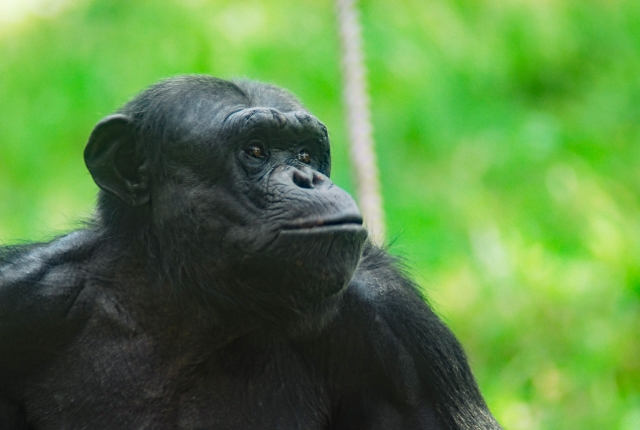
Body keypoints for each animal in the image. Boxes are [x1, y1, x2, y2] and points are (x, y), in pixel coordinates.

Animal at [0, 75, 500, 428]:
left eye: (305, 153)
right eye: (255, 149)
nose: (309, 179)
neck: (187, 313)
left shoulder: (405, 339)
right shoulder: (23, 299)